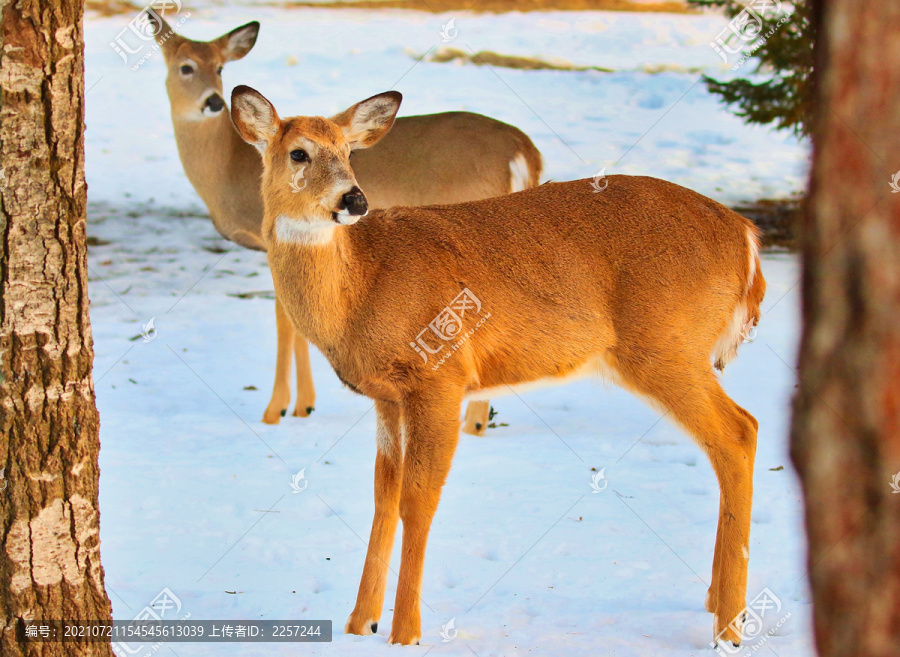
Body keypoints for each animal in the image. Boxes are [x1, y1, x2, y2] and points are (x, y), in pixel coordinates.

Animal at [152, 16, 540, 430]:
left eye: (220, 68)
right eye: (185, 67)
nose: (213, 102)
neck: (227, 166)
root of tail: (526, 152)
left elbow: (285, 320)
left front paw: (280, 409)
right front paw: (303, 405)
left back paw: (474, 425)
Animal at [232, 86, 768, 644]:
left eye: (348, 152)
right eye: (299, 153)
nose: (354, 200)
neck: (360, 287)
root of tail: (747, 238)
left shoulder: (441, 377)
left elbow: (417, 500)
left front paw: (405, 632)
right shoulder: (387, 397)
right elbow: (384, 495)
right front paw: (361, 623)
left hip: (666, 346)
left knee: (739, 431)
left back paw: (729, 624)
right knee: (736, 435)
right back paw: (716, 604)